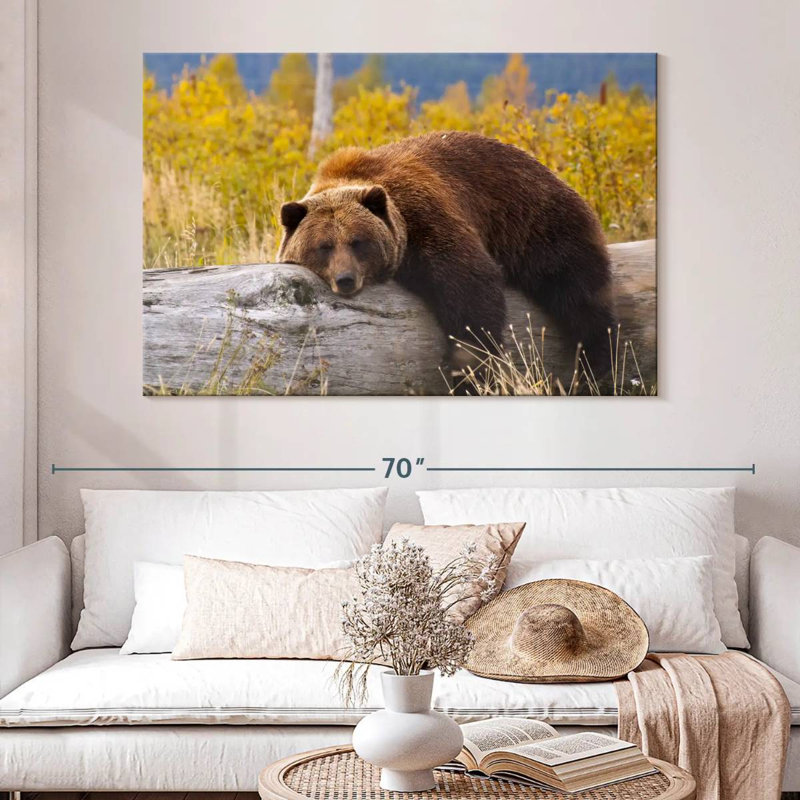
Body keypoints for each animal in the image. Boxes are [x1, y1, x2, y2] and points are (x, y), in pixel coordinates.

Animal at [278, 131, 617, 379]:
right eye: (324, 246)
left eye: (358, 242)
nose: (346, 279)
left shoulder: (424, 215)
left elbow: (470, 287)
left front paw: (467, 368)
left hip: (538, 224)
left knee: (579, 292)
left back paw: (597, 362)